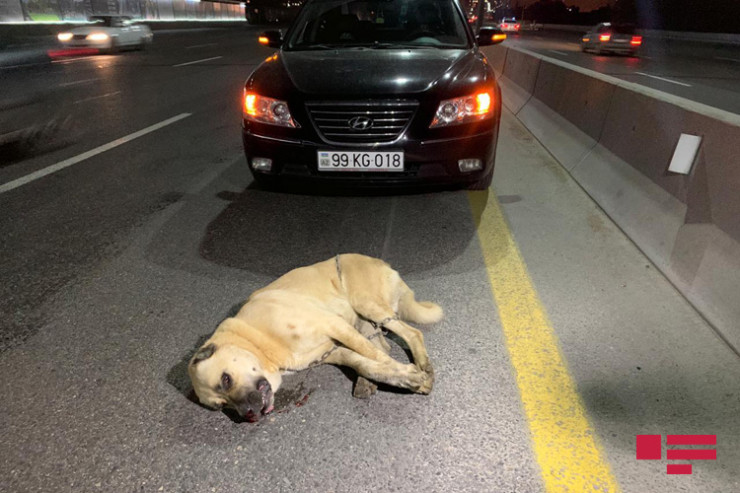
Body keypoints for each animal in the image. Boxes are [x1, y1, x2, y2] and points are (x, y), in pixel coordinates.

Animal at [191, 256, 442, 420]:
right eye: (222, 406)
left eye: (225, 380)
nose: (248, 415)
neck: (259, 342)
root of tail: (380, 262)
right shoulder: (332, 352)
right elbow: (366, 363)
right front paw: (396, 376)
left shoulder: (335, 325)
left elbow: (376, 358)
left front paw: (410, 375)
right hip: (362, 322)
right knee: (383, 345)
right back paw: (365, 382)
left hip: (366, 305)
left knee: (411, 333)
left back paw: (422, 363)